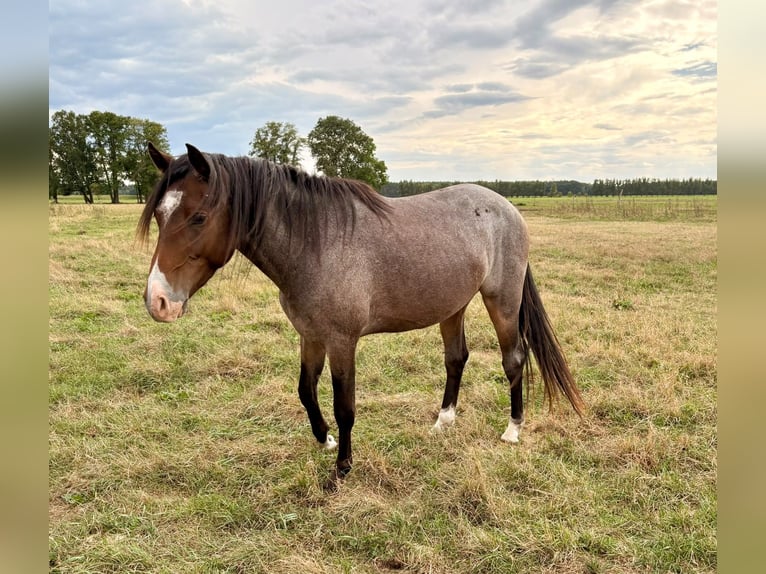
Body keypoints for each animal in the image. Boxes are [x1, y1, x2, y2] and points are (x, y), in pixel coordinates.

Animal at [138, 142, 585, 489]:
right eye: (159, 215)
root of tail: (506, 207)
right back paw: (443, 422)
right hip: (453, 306)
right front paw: (325, 441)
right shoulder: (310, 335)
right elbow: (305, 391)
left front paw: (341, 470)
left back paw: (512, 430)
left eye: (199, 217)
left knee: (514, 359)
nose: (158, 301)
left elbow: (344, 406)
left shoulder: (341, 341)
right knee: (456, 359)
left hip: (502, 301)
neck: (316, 243)